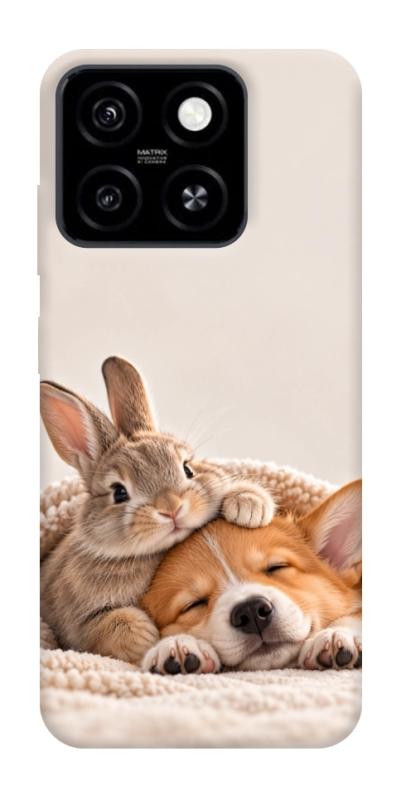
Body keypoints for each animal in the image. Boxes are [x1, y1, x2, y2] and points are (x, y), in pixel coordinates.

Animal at [40, 356, 276, 664]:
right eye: (119, 492)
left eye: (187, 469)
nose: (171, 508)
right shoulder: (78, 623)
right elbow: (109, 626)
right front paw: (147, 638)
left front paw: (249, 505)